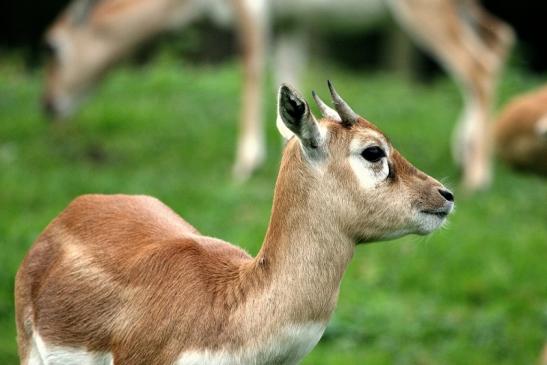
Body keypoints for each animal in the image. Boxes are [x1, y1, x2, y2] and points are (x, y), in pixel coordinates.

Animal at [42, 0, 512, 188]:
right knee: (498, 38)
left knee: (478, 63)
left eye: (52, 46)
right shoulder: (291, 21)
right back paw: (465, 150)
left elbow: (251, 66)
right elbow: (289, 74)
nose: (47, 104)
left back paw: (478, 176)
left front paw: (244, 163)